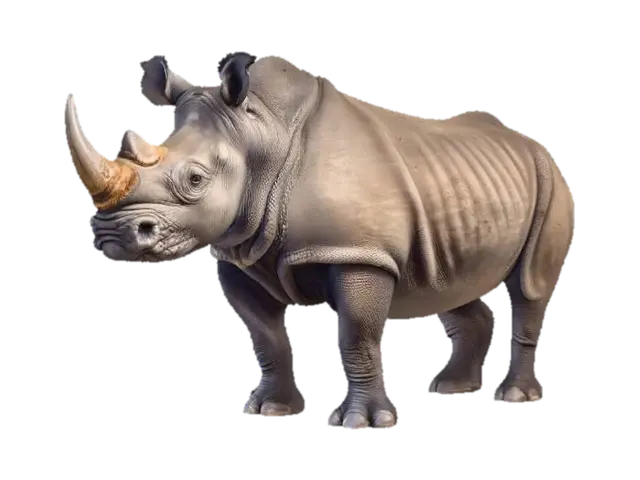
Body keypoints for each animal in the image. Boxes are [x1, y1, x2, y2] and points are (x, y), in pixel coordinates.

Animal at [64, 52, 575, 431]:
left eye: (195, 179)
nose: (112, 235)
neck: (260, 133)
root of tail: (535, 145)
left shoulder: (360, 255)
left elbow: (356, 337)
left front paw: (361, 423)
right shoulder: (239, 257)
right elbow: (267, 337)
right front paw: (270, 410)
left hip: (550, 182)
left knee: (528, 286)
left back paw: (514, 398)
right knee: (449, 283)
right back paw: (450, 389)